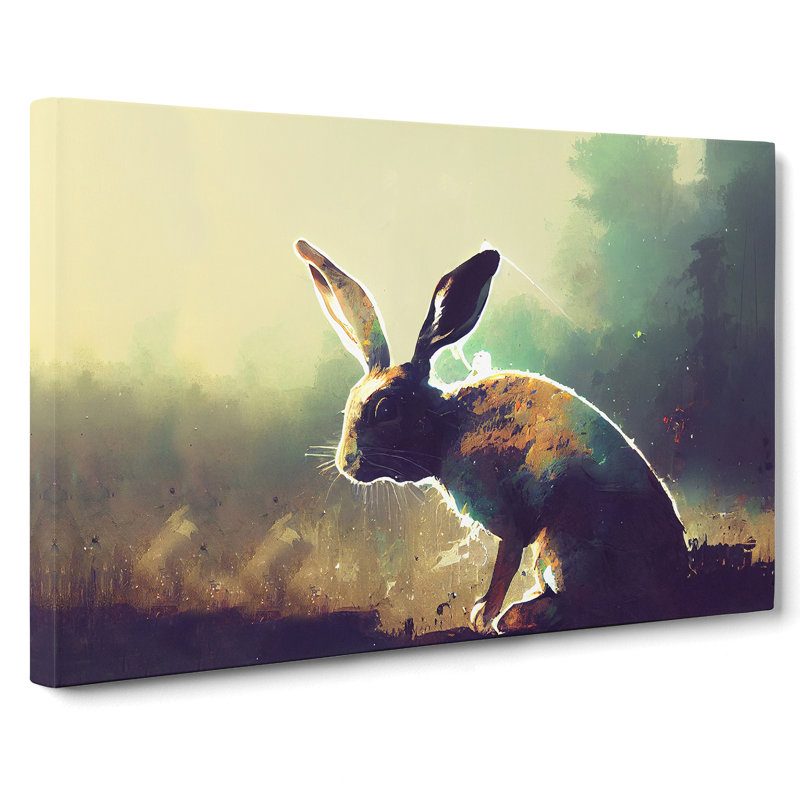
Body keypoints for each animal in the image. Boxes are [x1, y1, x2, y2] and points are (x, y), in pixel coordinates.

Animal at [294, 239, 689, 635]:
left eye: (387, 409)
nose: (345, 465)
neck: (447, 427)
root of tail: (674, 578)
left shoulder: (509, 520)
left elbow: (505, 563)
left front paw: (482, 617)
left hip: (562, 542)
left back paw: (514, 617)